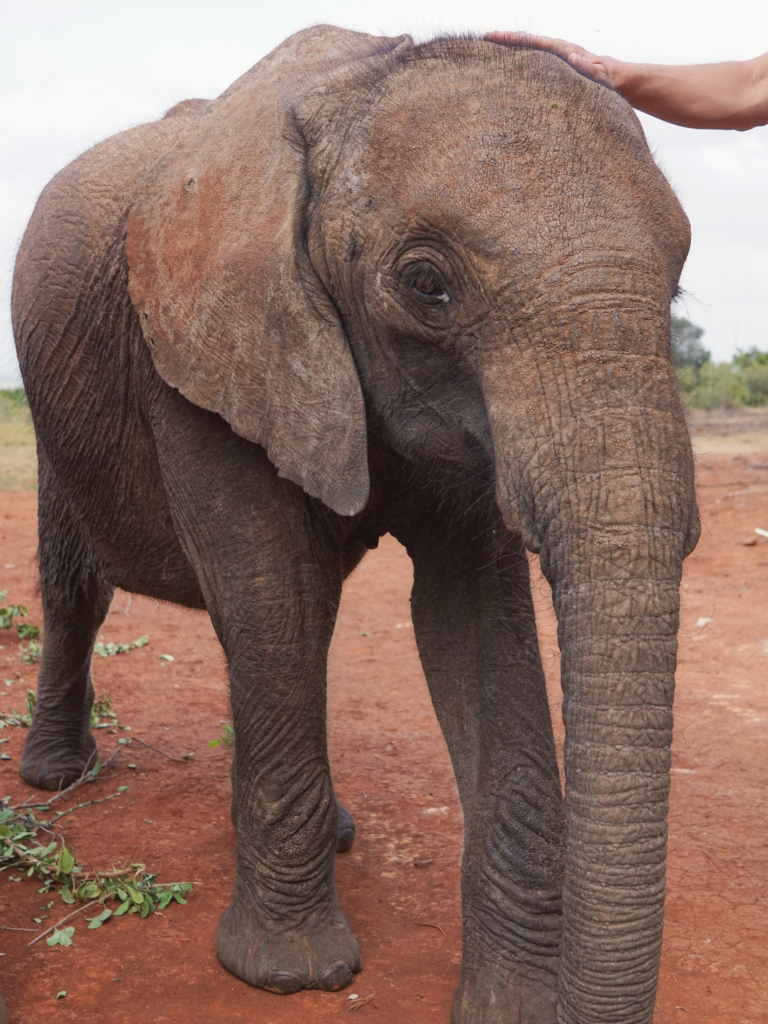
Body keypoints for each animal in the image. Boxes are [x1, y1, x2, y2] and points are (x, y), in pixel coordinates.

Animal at [9, 24, 700, 1024]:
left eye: (677, 290)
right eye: (426, 284)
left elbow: (470, 620)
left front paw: (513, 1003)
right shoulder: (200, 350)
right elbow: (273, 590)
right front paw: (287, 974)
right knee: (85, 591)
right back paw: (60, 778)